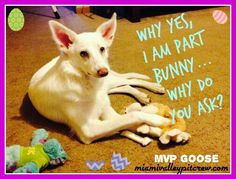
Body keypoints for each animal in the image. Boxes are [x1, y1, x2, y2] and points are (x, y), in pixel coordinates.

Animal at [28, 13, 189, 145]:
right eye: (83, 53)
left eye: (102, 49)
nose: (103, 72)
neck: (85, 83)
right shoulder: (89, 129)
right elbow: (133, 115)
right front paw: (158, 122)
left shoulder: (106, 111)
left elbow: (132, 116)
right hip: (108, 86)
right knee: (126, 86)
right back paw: (142, 96)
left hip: (110, 81)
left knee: (130, 81)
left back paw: (152, 88)